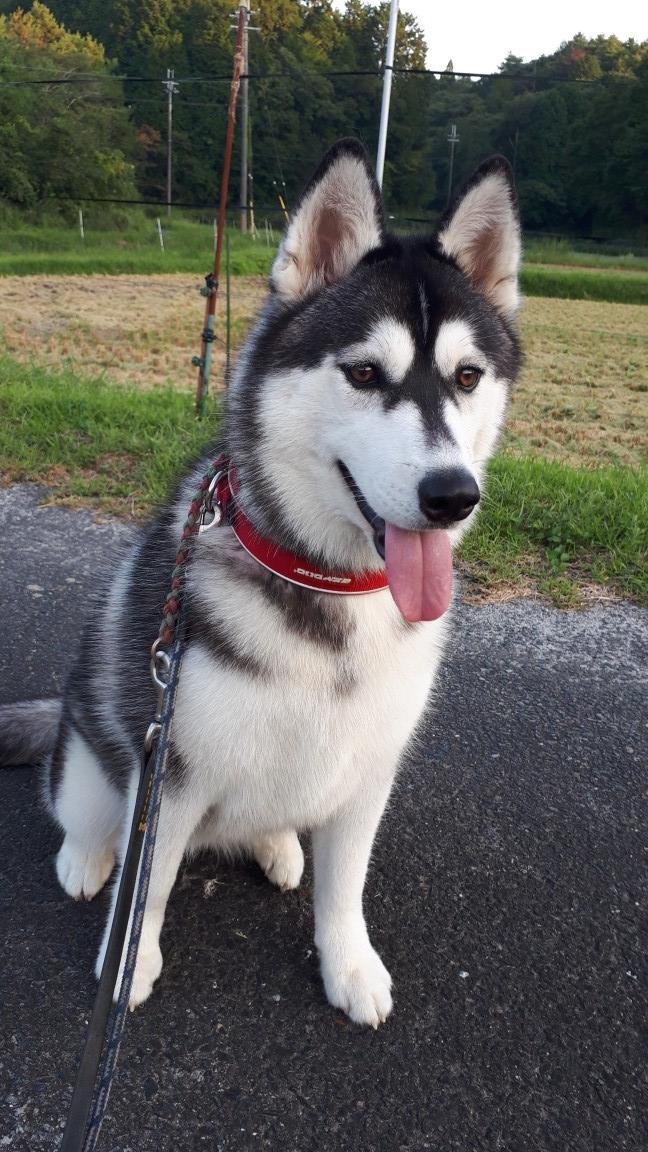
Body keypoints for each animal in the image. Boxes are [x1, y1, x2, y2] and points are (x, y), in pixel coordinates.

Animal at [0, 139, 521, 1027]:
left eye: (467, 376)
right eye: (364, 373)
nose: (453, 495)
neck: (327, 583)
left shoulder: (368, 771)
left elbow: (346, 889)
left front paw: (349, 966)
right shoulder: (168, 775)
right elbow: (150, 887)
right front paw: (128, 966)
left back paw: (277, 847)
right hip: (98, 756)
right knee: (85, 815)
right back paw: (85, 858)